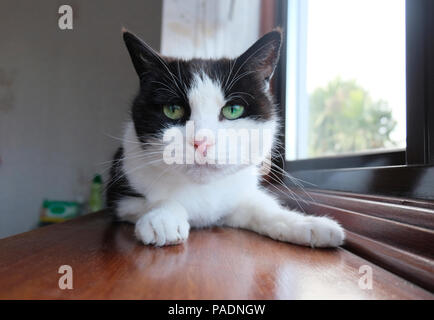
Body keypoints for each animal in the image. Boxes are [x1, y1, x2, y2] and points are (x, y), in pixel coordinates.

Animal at [107, 28, 344, 248]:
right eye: (173, 109)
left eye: (233, 110)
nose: (201, 142)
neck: (203, 189)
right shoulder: (121, 196)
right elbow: (153, 201)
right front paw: (162, 218)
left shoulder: (237, 197)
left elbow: (261, 207)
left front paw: (308, 224)